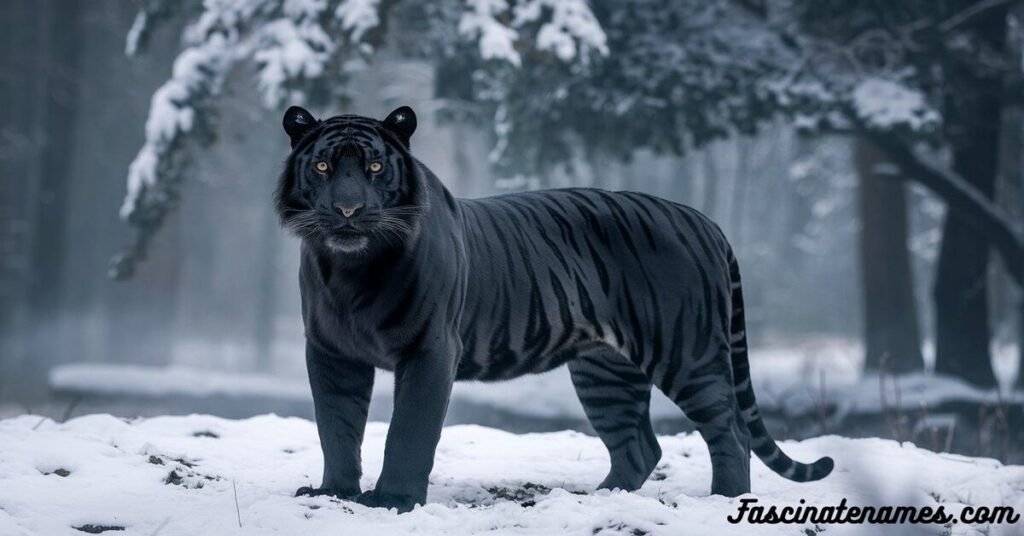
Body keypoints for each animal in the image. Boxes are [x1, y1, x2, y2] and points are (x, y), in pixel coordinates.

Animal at [276, 105, 833, 513]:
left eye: (374, 167)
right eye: (323, 166)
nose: (348, 210)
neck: (351, 267)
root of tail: (702, 220)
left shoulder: (430, 348)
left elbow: (408, 430)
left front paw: (392, 500)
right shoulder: (330, 351)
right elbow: (336, 425)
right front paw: (335, 492)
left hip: (686, 351)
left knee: (731, 432)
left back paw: (726, 501)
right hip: (605, 371)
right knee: (640, 445)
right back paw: (599, 498)